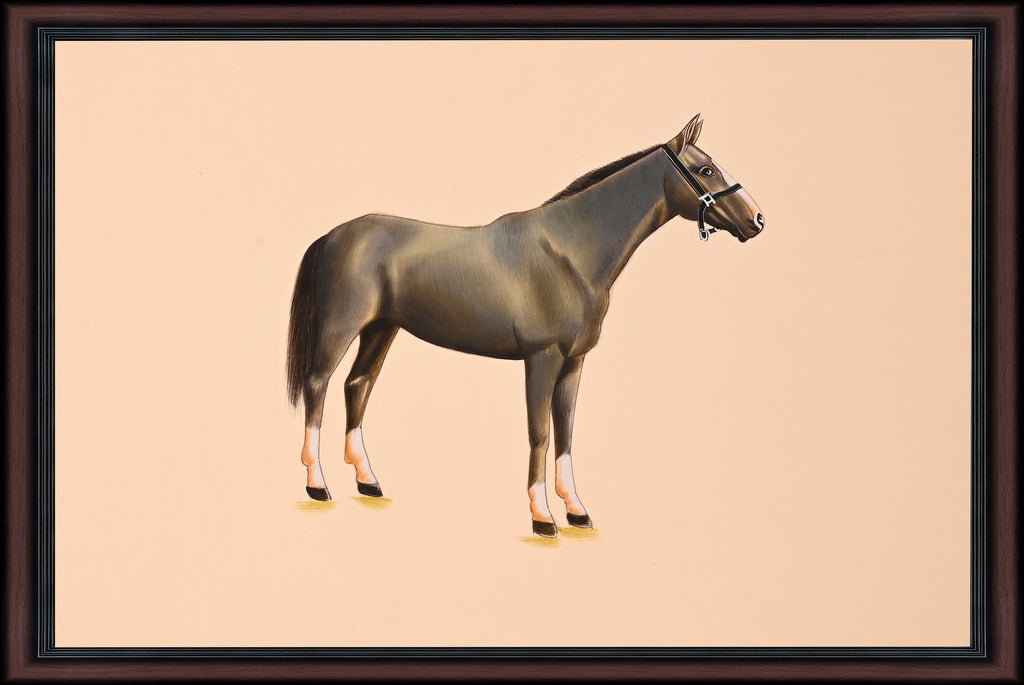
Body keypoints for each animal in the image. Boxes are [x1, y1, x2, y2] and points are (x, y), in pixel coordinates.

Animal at [287, 114, 764, 537]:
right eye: (705, 169)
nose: (757, 219)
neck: (569, 251)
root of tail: (332, 236)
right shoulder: (542, 358)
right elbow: (540, 435)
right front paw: (542, 518)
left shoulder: (573, 362)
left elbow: (566, 431)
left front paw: (577, 512)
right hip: (340, 328)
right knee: (318, 385)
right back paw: (317, 485)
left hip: (381, 328)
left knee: (357, 385)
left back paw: (367, 481)